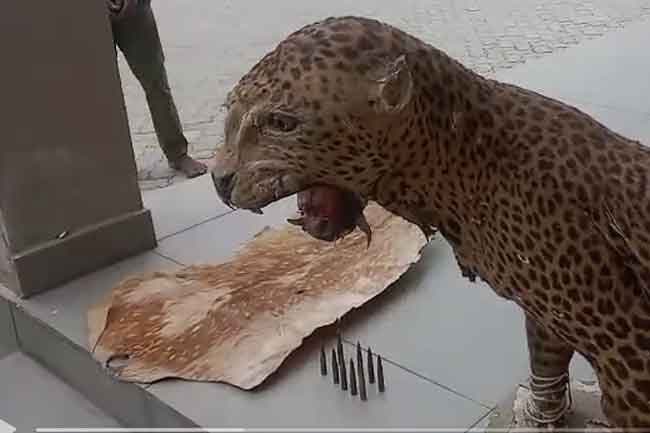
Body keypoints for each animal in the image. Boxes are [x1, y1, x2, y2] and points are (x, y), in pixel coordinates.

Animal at [210, 16, 650, 430]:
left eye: (282, 123)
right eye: (229, 112)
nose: (219, 179)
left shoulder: (628, 355)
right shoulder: (547, 316)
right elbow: (546, 360)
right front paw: (539, 413)